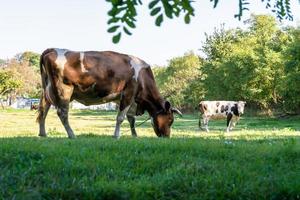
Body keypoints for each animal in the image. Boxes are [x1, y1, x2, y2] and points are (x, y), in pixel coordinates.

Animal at [35, 48, 180, 139]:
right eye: (170, 119)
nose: (167, 136)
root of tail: (53, 49)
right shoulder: (129, 92)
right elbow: (120, 117)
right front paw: (116, 136)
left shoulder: (126, 99)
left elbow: (131, 118)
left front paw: (134, 135)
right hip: (63, 90)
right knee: (62, 113)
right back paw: (72, 135)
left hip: (47, 91)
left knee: (43, 110)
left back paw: (43, 134)